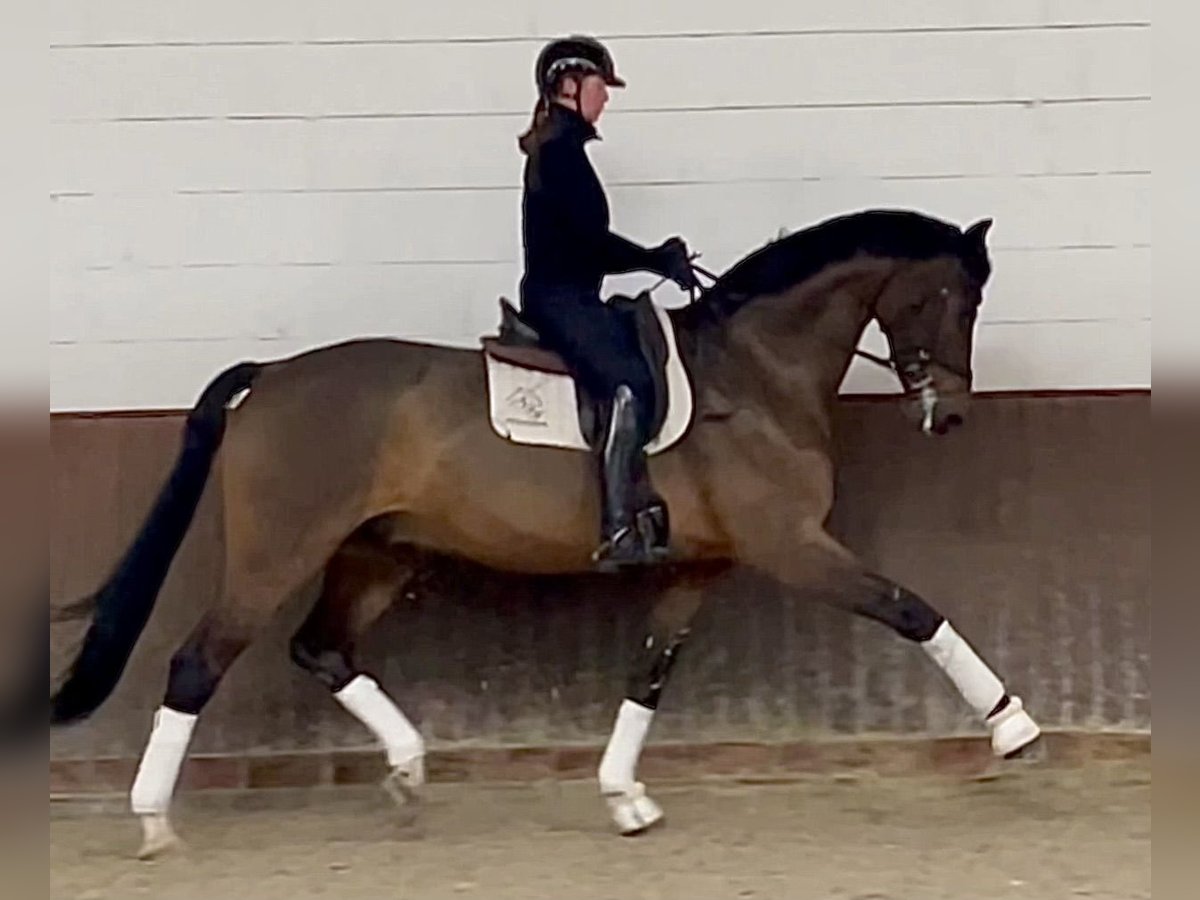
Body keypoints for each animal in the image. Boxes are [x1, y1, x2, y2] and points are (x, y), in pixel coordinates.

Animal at [49, 210, 1041, 859]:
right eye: (951, 297)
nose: (950, 415)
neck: (756, 374)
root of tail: (274, 376)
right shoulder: (792, 543)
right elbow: (912, 610)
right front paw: (1013, 728)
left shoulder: (705, 566)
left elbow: (649, 671)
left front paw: (625, 797)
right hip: (276, 552)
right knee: (197, 664)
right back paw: (154, 822)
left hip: (377, 552)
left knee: (320, 649)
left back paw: (409, 771)